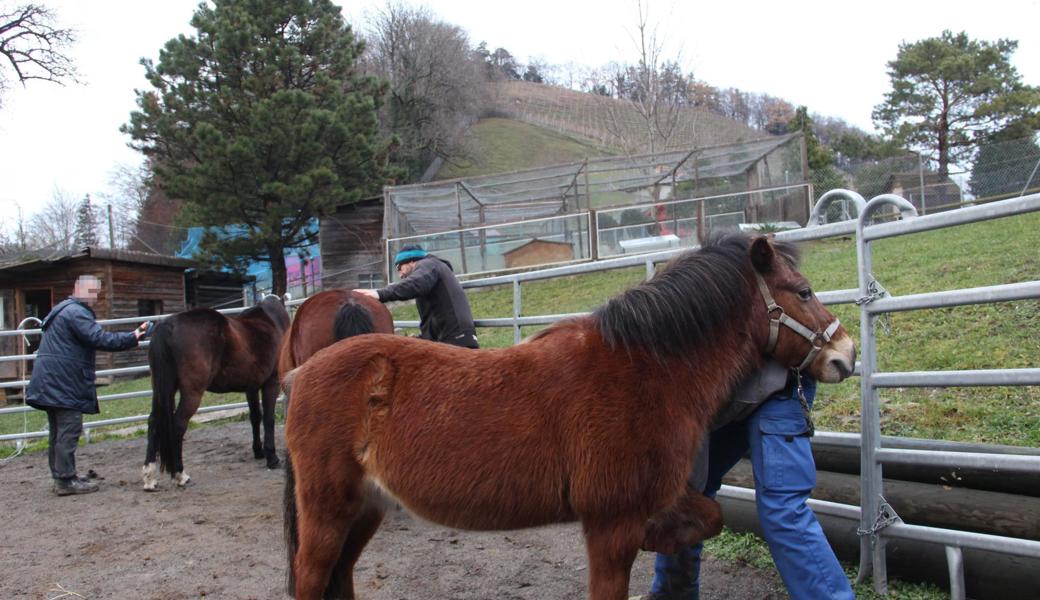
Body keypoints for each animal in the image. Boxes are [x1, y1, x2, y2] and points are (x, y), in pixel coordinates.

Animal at [140, 295, 289, 490]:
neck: (272, 320)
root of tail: (168, 325)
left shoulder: (251, 387)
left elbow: (255, 417)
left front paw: (259, 451)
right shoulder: (271, 384)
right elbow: (269, 419)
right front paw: (272, 457)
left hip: (162, 388)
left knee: (153, 421)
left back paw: (149, 477)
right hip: (192, 392)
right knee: (179, 424)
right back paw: (180, 474)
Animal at [282, 231, 852, 594]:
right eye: (803, 292)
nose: (843, 354)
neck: (645, 369)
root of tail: (303, 373)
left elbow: (708, 517)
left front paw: (666, 537)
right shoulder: (611, 527)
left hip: (366, 506)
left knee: (340, 577)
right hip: (328, 507)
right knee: (311, 577)